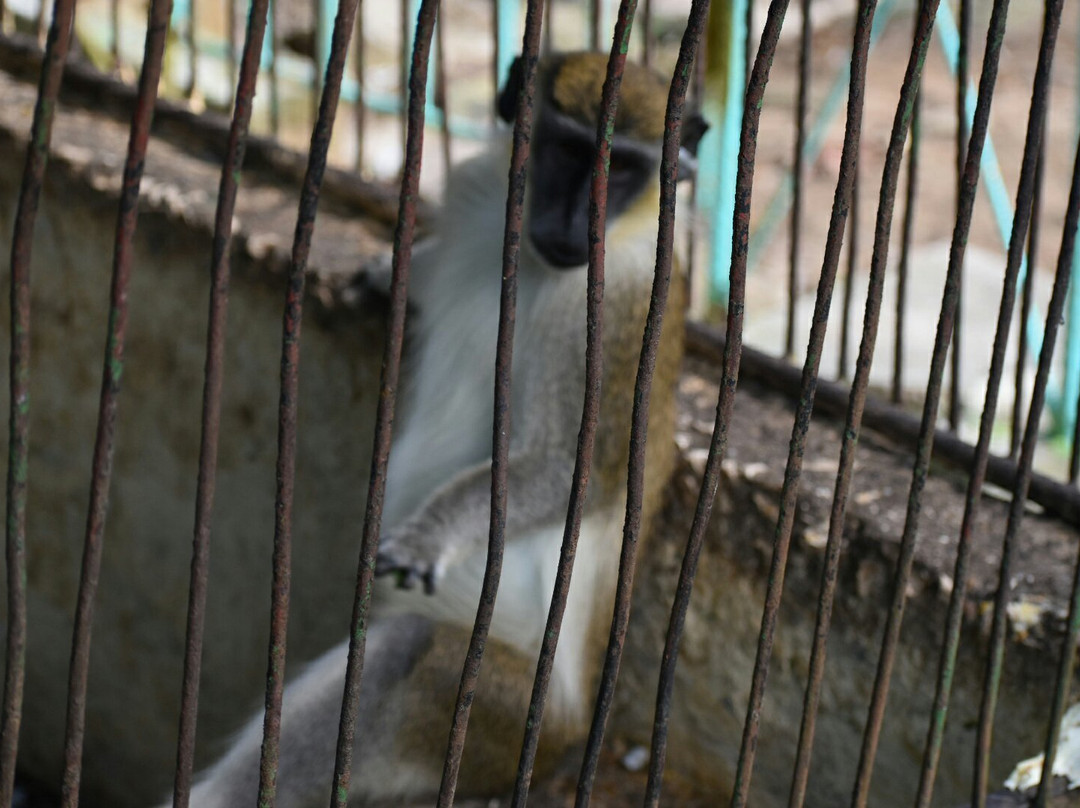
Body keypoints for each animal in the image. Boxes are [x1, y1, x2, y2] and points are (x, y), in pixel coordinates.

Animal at [183, 53, 708, 803]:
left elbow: (565, 470)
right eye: (571, 151)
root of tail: (571, 739)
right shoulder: (474, 197)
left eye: (629, 170)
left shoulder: (618, 318)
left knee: (405, 654)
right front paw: (384, 275)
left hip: (500, 715)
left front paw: (431, 533)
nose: (578, 219)